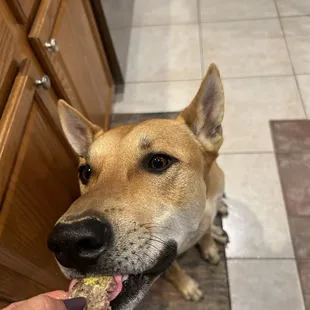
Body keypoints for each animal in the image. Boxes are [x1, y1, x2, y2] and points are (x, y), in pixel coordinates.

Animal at [47, 64, 228, 308]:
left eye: (158, 162)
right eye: (85, 172)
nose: (69, 241)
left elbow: (207, 232)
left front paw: (210, 246)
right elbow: (174, 269)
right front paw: (187, 286)